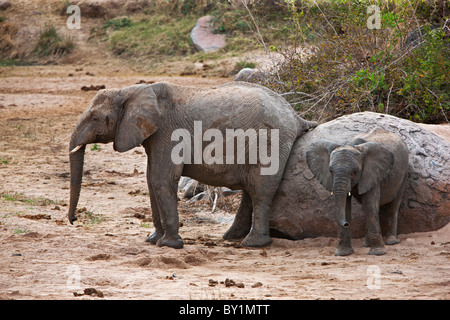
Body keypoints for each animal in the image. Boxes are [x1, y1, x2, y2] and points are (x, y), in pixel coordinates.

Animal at [69, 81, 316, 249]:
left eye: (94, 118)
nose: (74, 220)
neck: (132, 91)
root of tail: (296, 116)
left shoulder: (168, 134)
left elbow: (161, 179)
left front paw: (168, 245)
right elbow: (151, 180)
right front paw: (152, 240)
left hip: (270, 142)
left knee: (260, 191)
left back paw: (253, 244)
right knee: (250, 191)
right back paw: (231, 237)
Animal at [306, 127, 408, 255]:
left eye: (354, 172)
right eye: (330, 171)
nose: (346, 224)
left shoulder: (372, 172)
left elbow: (370, 205)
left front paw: (378, 253)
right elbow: (347, 206)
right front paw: (343, 253)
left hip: (404, 172)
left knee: (393, 204)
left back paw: (392, 241)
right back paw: (366, 244)